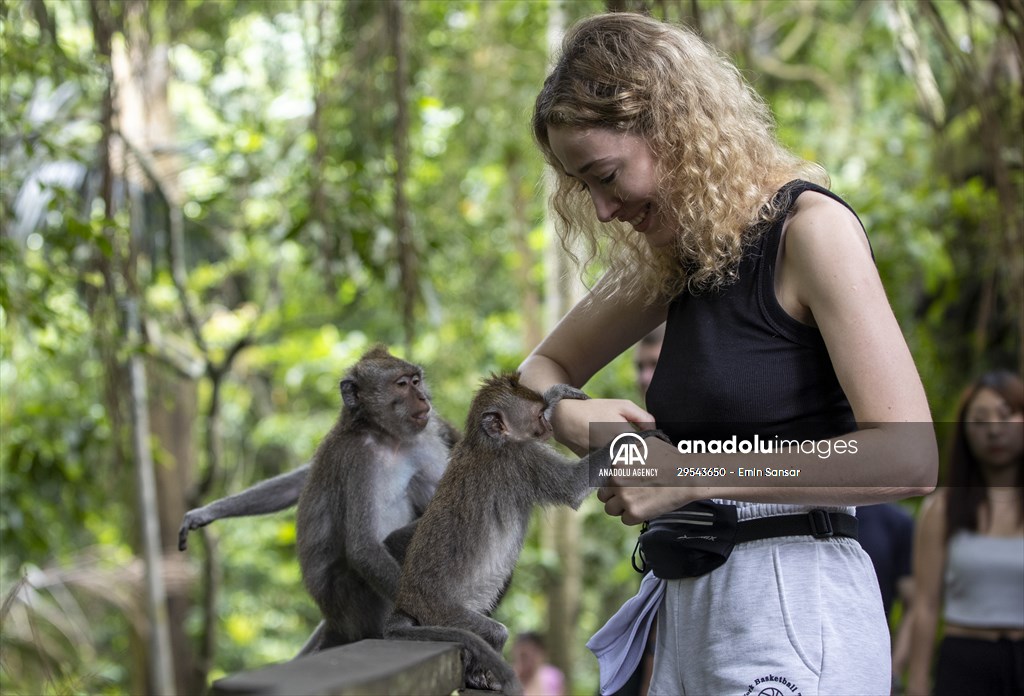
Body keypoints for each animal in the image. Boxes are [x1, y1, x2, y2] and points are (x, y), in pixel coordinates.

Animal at [295, 345, 459, 652]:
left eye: (416, 380)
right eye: (402, 384)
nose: (423, 397)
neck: (387, 438)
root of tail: (335, 623)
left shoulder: (421, 442)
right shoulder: (358, 458)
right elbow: (364, 548)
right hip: (353, 604)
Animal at [385, 374, 606, 694]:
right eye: (537, 417)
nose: (549, 427)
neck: (487, 443)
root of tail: (405, 602)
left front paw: (555, 394)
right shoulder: (523, 458)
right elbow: (573, 486)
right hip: (445, 616)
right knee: (493, 633)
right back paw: (480, 674)